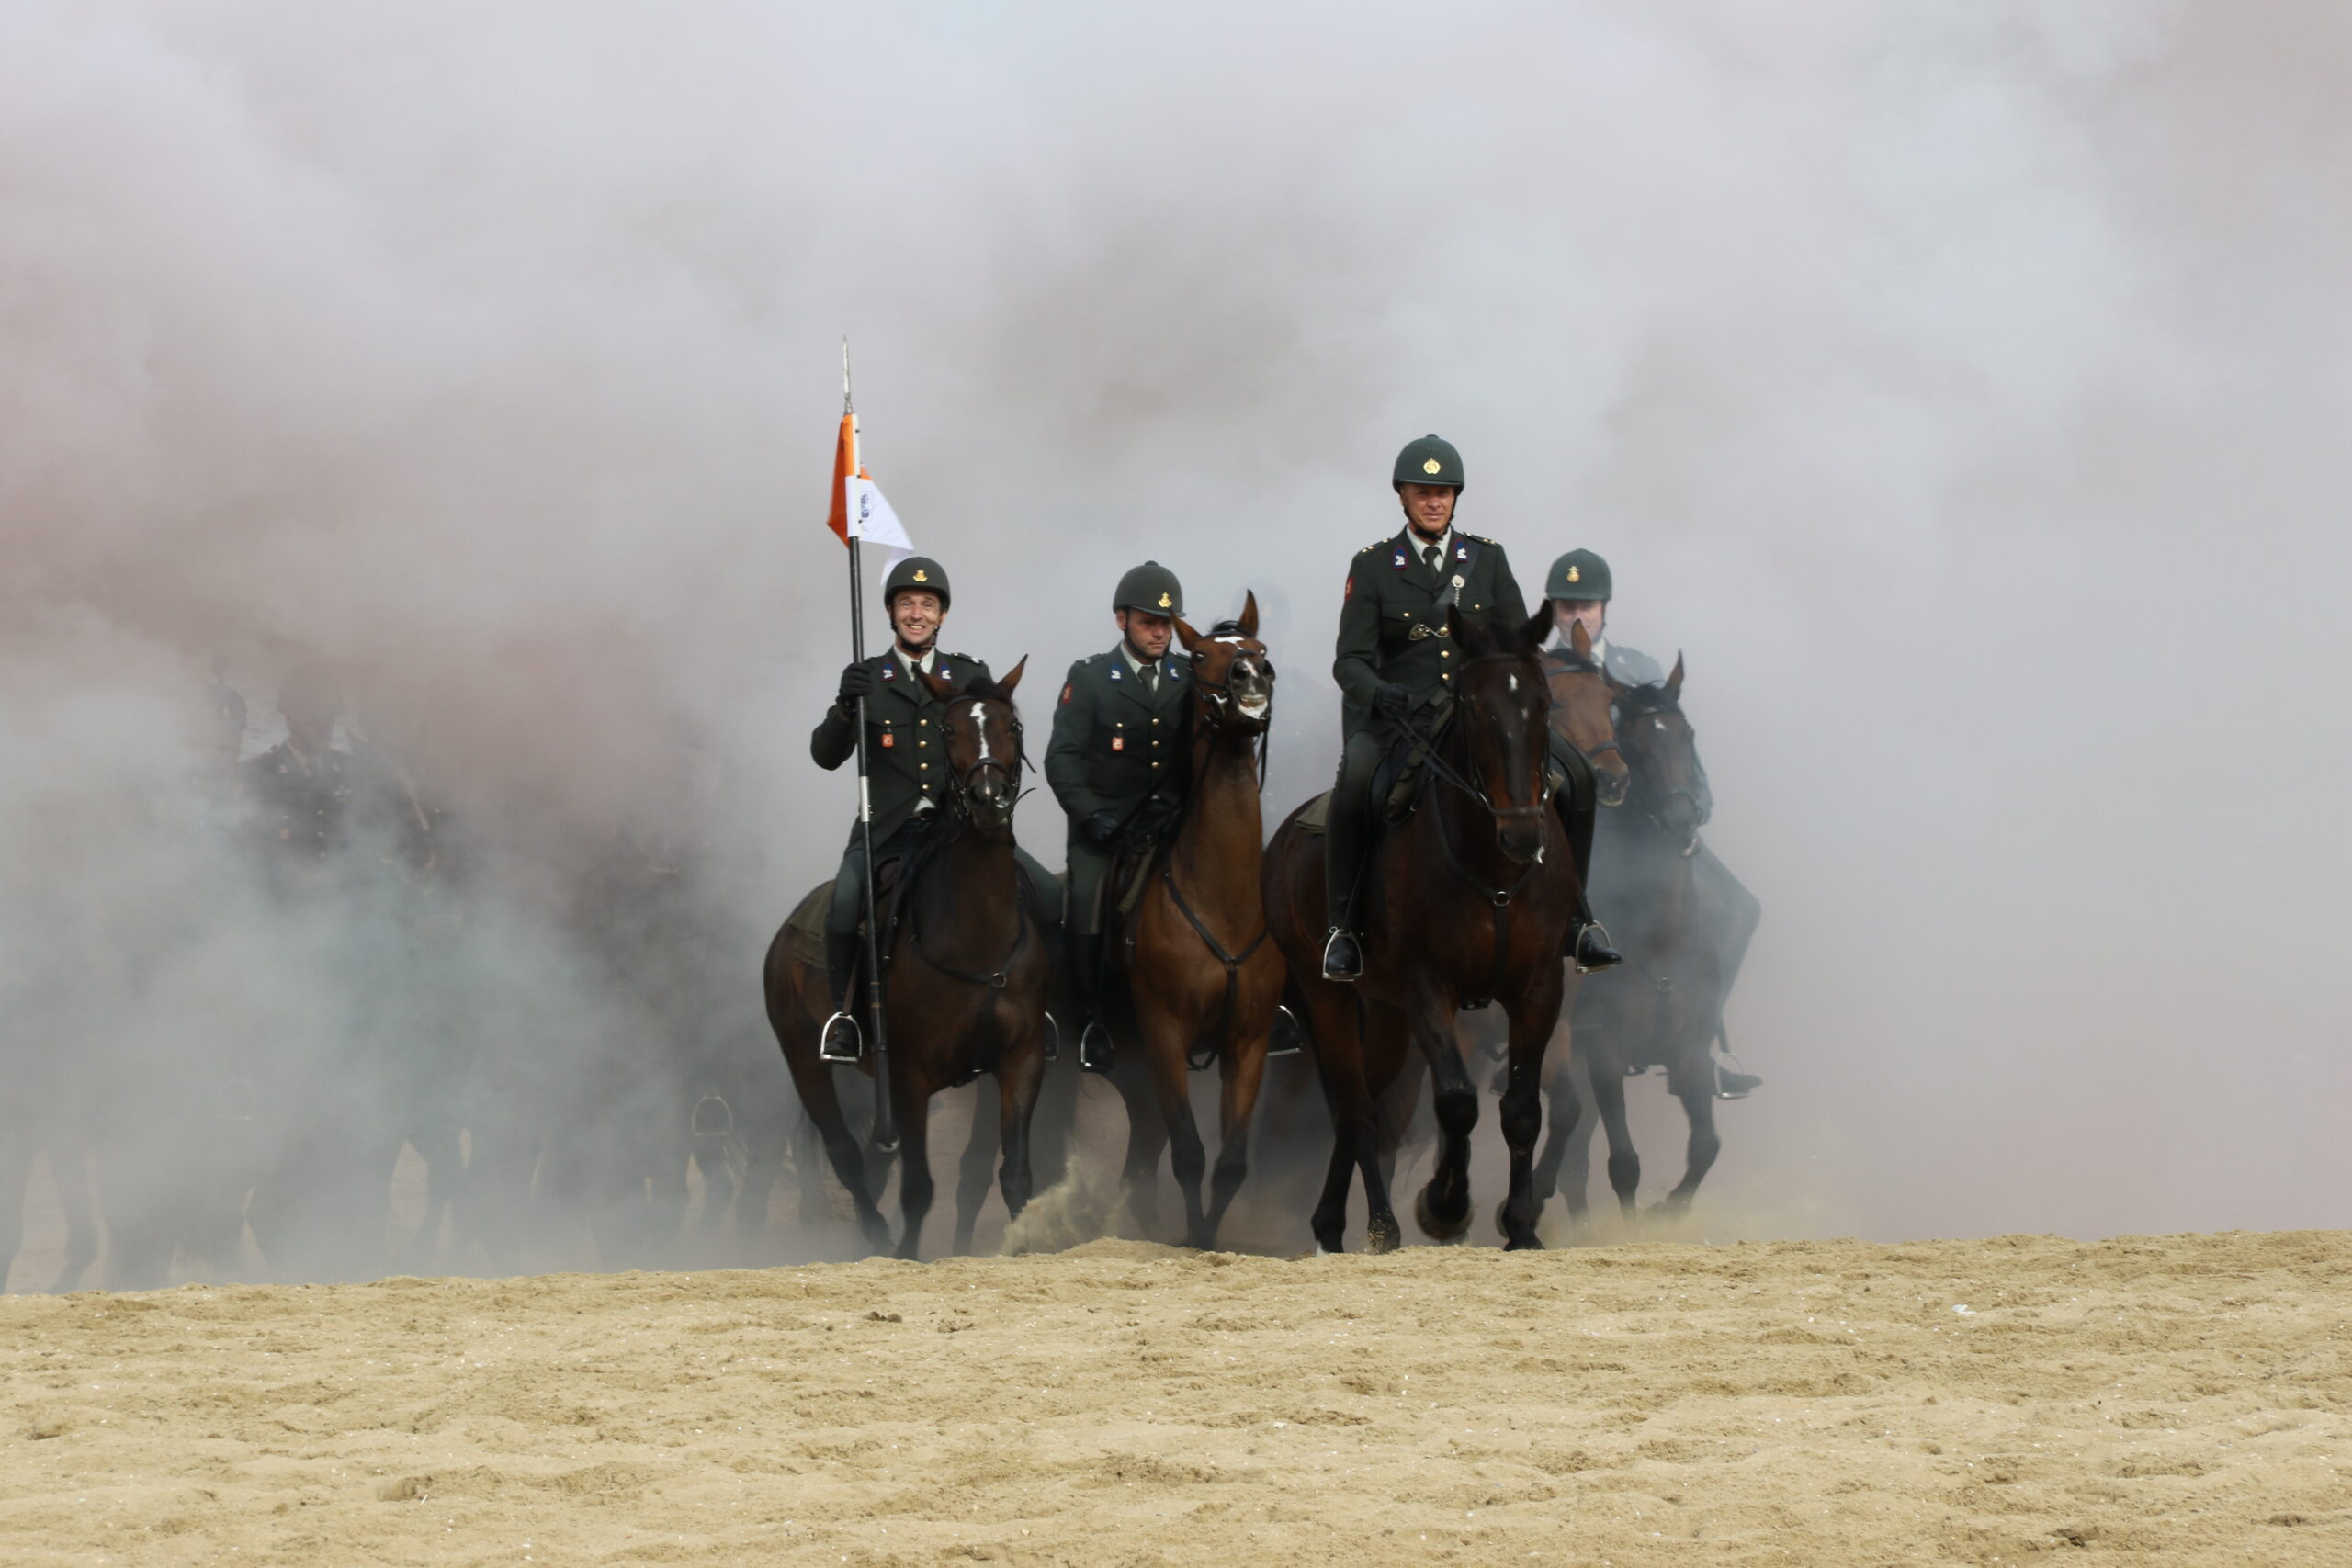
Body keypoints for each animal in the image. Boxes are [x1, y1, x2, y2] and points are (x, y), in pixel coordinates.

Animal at [762, 662, 1051, 1260]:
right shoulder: (909, 1076)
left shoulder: (1023, 1060)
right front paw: (903, 1254)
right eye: (948, 730)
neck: (977, 938)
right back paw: (872, 1236)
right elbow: (919, 1185)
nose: (988, 800)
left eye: (1012, 726)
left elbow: (1015, 1173)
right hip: (805, 1061)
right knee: (846, 1155)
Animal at [1101, 594, 1282, 1249]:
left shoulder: (1248, 1042)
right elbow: (1189, 1152)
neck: (1220, 901)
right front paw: (1193, 1237)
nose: (1252, 678)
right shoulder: (1165, 1036)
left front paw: (1206, 1236)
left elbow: (1229, 1162)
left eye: (1259, 649)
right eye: (1200, 656)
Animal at [1264, 604, 1578, 1253]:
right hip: (1327, 993)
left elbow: (1522, 1110)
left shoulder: (1539, 987)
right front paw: (1445, 1205)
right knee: (1357, 1108)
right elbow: (1457, 1101)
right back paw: (1378, 1227)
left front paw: (1520, 1227)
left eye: (1542, 703)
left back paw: (1332, 1224)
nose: (1523, 835)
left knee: (1371, 1104)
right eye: (1476, 708)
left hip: (1385, 1010)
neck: (1492, 868)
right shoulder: (1428, 987)